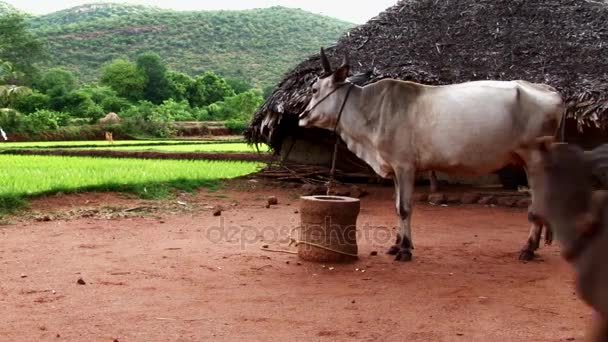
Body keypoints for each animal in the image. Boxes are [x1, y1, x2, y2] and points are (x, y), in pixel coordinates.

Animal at [300, 48, 564, 262]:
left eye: (314, 89)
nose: (301, 116)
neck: (371, 109)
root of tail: (549, 90)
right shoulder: (394, 168)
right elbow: (396, 206)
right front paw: (396, 245)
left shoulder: (405, 166)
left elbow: (405, 207)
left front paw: (405, 250)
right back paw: (533, 247)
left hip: (534, 158)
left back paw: (528, 249)